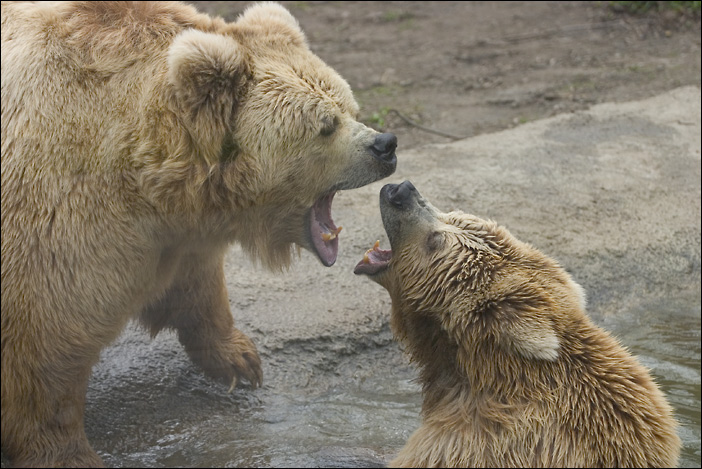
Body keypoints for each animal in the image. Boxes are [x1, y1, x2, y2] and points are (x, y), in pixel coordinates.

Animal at [0, 1, 396, 466]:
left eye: (349, 106)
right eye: (325, 125)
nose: (386, 145)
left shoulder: (171, 230)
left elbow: (196, 282)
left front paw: (240, 358)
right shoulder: (56, 216)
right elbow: (44, 347)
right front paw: (67, 451)